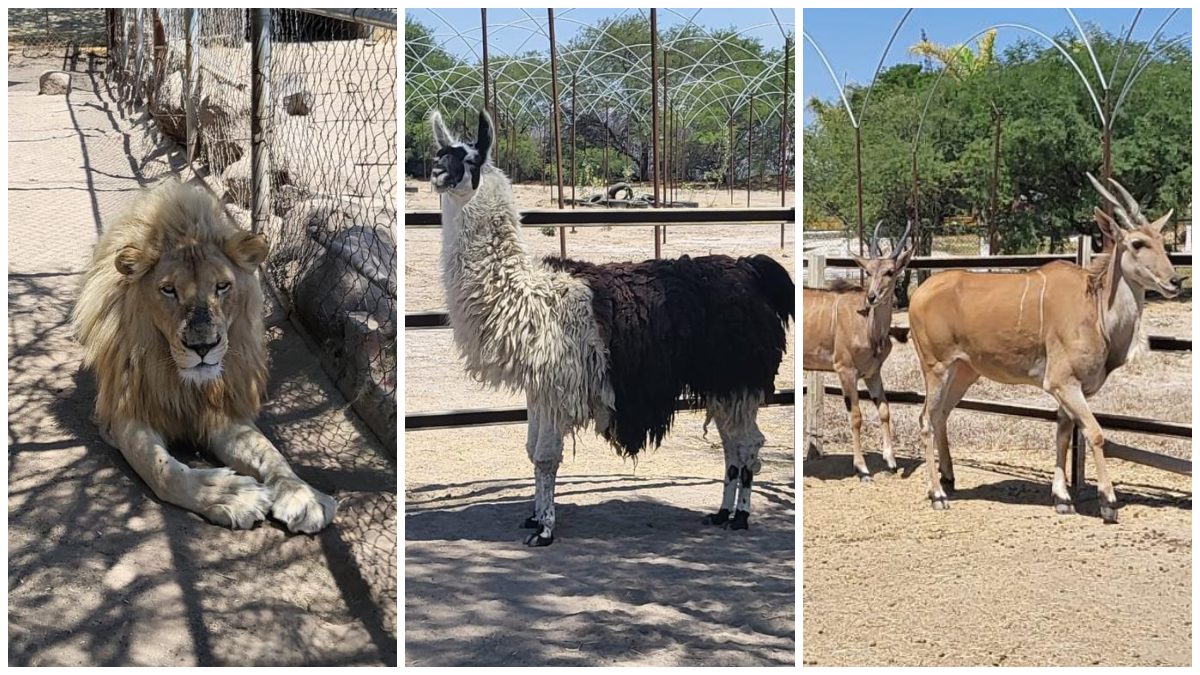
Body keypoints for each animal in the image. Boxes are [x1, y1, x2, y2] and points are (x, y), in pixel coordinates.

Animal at [73, 177, 338, 530]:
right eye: (168, 290)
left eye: (222, 287)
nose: (203, 347)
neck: (183, 380)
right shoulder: (128, 413)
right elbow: (163, 469)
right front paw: (230, 495)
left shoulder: (223, 412)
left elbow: (271, 453)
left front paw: (303, 495)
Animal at [801, 220, 912, 478]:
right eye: (868, 271)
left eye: (889, 271)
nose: (872, 297)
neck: (870, 329)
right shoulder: (845, 371)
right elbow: (856, 416)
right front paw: (862, 467)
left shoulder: (872, 373)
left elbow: (884, 410)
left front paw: (891, 461)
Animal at [907, 172, 1180, 521]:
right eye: (1137, 243)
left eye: (1161, 241)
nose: (1175, 281)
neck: (1095, 308)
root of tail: (918, 293)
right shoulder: (1063, 383)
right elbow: (1095, 433)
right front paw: (1107, 501)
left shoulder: (1071, 390)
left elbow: (1063, 433)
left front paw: (1062, 498)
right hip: (936, 367)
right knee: (925, 419)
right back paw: (937, 493)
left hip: (964, 371)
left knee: (940, 414)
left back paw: (949, 478)